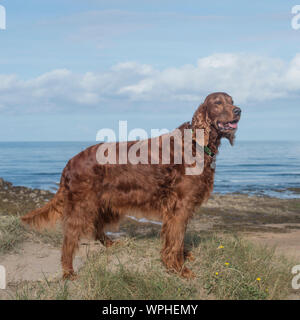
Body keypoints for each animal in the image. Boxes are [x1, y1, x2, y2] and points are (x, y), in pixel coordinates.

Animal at [21, 92, 241, 280]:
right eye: (217, 103)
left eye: (231, 100)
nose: (238, 110)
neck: (196, 142)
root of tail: (70, 162)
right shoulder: (180, 206)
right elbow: (176, 239)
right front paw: (179, 268)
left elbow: (175, 238)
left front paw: (181, 258)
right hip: (82, 205)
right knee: (69, 240)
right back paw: (68, 272)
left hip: (103, 202)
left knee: (96, 226)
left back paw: (110, 243)